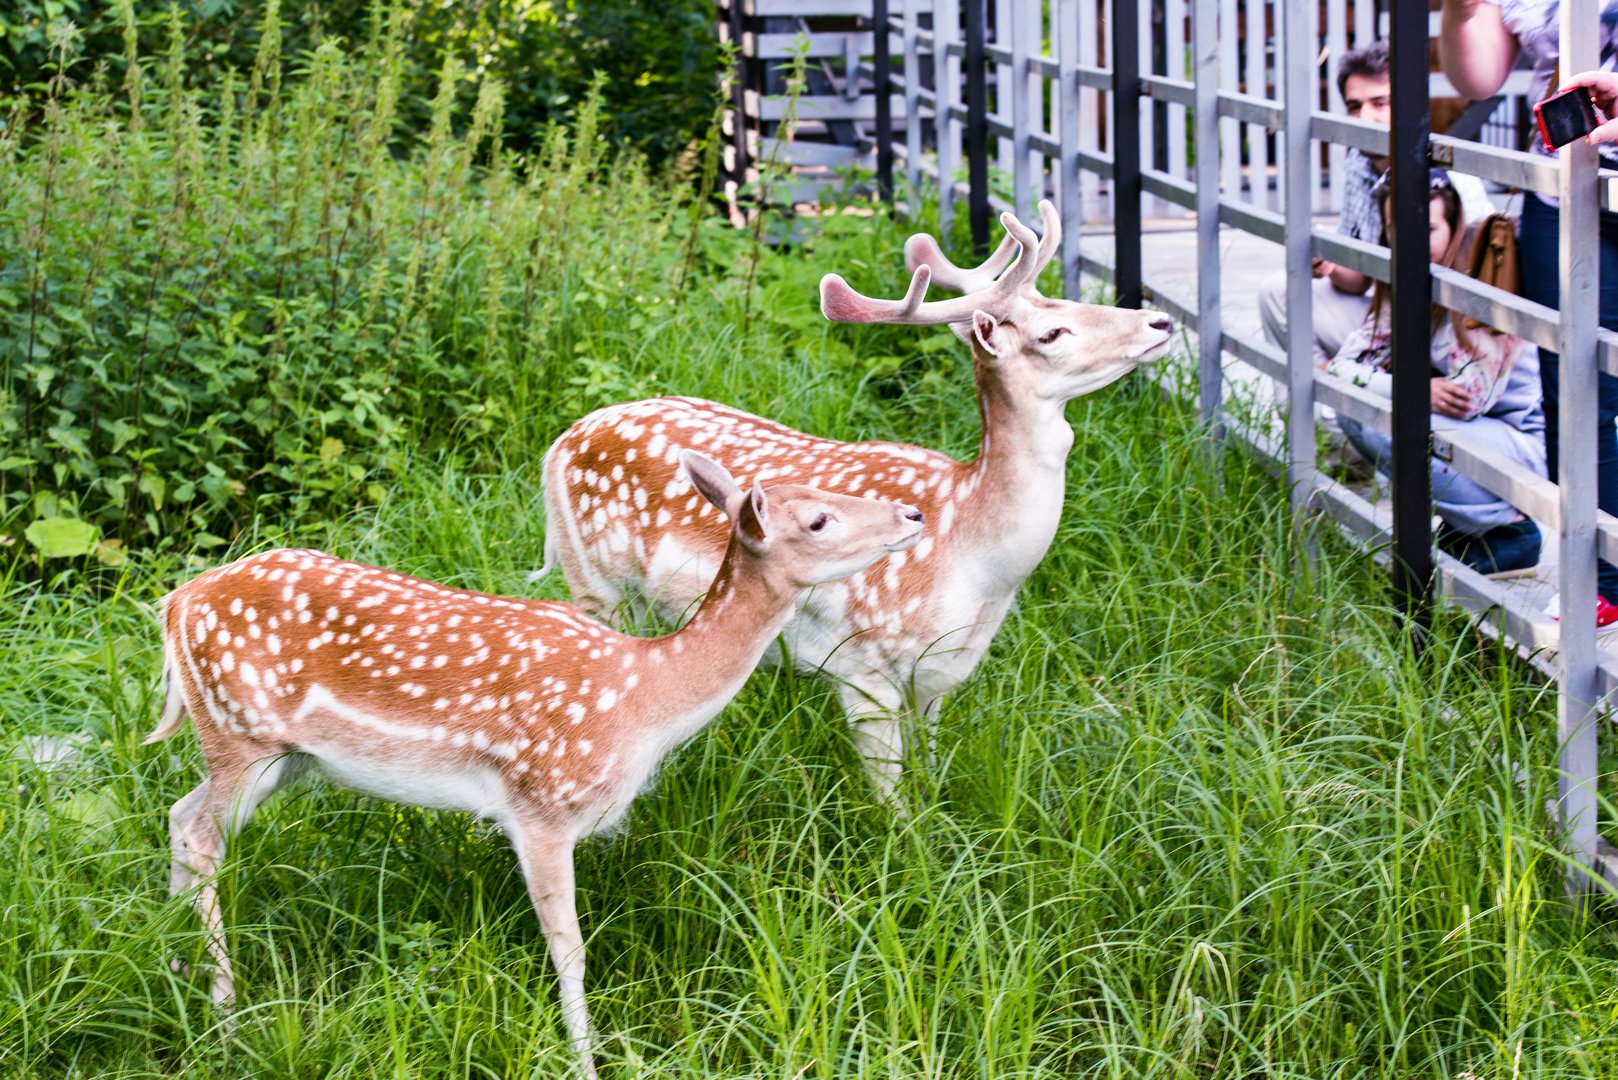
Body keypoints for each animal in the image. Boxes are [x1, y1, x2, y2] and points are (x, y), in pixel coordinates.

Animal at [145, 453, 931, 1075]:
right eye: (819, 519)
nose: (913, 513)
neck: (644, 699)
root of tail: (174, 605)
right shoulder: (541, 804)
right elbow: (570, 947)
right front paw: (587, 1061)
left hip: (281, 757)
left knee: (181, 816)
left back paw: (176, 972)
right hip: (240, 735)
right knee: (202, 834)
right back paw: (224, 1013)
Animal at [543, 200, 1177, 803]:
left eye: (1071, 298)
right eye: (1051, 334)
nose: (1162, 320)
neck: (974, 561)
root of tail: (556, 448)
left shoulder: (937, 676)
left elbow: (930, 775)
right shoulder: (861, 667)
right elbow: (894, 805)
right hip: (595, 586)